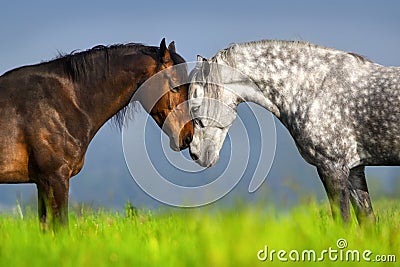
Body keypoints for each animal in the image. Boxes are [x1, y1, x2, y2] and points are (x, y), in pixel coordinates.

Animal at [188, 38, 400, 225]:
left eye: (195, 107)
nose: (196, 154)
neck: (315, 89)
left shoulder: (333, 168)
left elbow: (343, 222)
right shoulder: (355, 170)